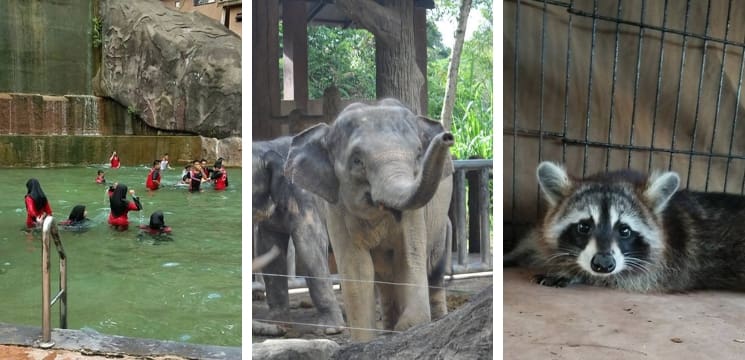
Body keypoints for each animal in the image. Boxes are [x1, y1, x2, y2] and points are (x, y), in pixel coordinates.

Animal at [282, 98, 450, 340]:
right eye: (357, 161)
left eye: (419, 154)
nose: (448, 137)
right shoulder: (337, 206)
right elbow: (358, 270)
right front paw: (369, 342)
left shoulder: (415, 213)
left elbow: (409, 260)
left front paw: (407, 327)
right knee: (385, 280)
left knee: (433, 269)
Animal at [508, 162, 745, 292]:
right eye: (584, 227)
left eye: (624, 230)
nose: (603, 263)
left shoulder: (664, 265)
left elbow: (626, 277)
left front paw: (573, 272)